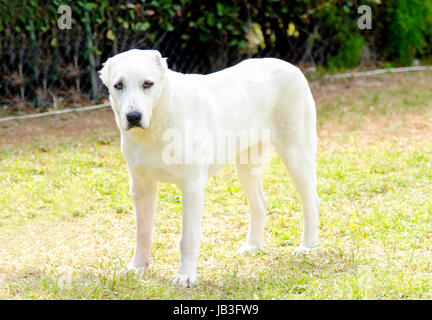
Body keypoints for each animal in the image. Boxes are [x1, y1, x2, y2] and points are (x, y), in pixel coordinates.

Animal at [99, 49, 318, 288]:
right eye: (119, 85)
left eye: (148, 84)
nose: (133, 116)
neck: (159, 118)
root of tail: (291, 66)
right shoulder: (142, 187)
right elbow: (143, 234)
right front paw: (137, 268)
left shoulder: (192, 186)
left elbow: (188, 238)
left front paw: (186, 276)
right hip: (246, 166)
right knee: (259, 203)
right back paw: (252, 247)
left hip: (296, 154)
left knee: (310, 200)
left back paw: (307, 246)